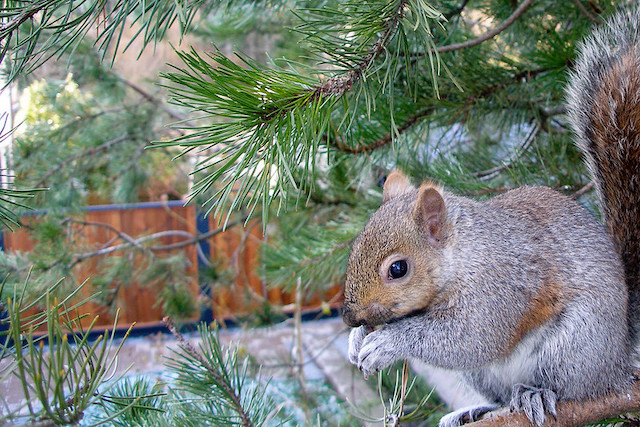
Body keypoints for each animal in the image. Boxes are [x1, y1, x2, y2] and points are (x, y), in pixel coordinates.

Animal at [344, 5, 640, 427]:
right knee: (500, 396)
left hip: (574, 345)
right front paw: (356, 343)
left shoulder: (500, 290)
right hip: (486, 374)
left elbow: (469, 338)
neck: (465, 254)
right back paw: (478, 410)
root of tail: (617, 360)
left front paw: (388, 342)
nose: (351, 317)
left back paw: (536, 393)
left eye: (398, 269)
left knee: (571, 387)